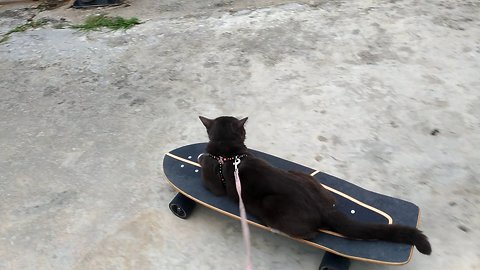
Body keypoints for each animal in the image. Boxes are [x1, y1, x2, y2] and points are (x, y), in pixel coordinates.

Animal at [198, 115, 432, 254]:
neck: (230, 152)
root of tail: (323, 208)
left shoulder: (214, 185)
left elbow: (205, 166)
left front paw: (200, 156)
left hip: (271, 204)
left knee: (310, 233)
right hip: (302, 175)